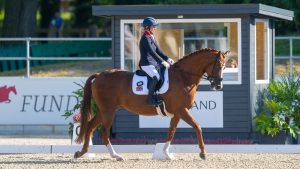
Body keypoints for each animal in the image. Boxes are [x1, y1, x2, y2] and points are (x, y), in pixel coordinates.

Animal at [74, 48, 227, 160]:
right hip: (108, 111)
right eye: (219, 65)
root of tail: (99, 75)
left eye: (224, 67)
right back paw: (115, 156)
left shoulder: (177, 113)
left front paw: (166, 154)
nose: (218, 86)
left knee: (90, 126)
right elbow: (197, 127)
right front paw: (203, 153)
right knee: (104, 132)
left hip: (104, 110)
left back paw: (81, 153)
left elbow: (171, 132)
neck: (183, 77)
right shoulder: (182, 110)